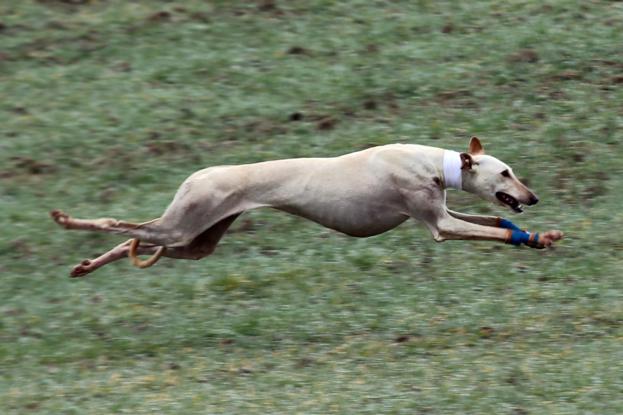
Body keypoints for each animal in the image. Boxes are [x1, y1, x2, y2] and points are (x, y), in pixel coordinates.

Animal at [51, 137, 563, 277]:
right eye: (506, 172)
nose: (533, 197)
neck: (430, 162)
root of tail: (198, 176)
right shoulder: (438, 224)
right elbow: (493, 229)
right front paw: (533, 235)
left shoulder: (443, 214)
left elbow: (492, 219)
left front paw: (541, 236)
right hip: (182, 227)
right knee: (120, 225)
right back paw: (67, 220)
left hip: (197, 240)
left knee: (133, 239)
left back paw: (85, 265)